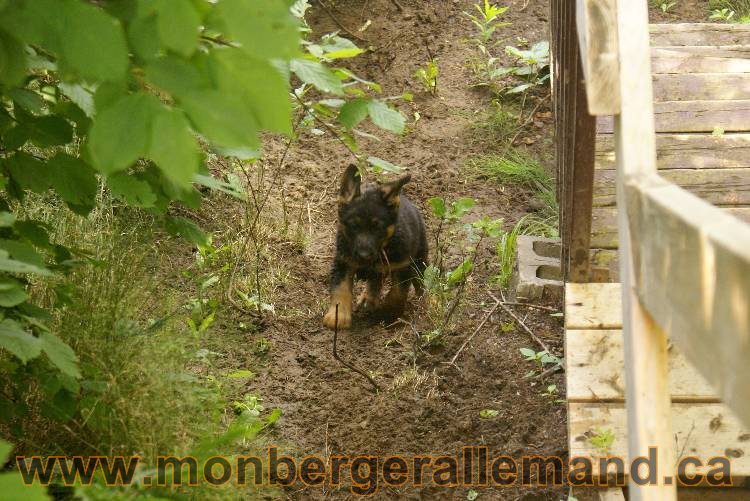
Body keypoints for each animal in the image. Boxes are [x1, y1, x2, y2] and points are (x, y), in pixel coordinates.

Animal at [324, 162, 428, 330]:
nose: (364, 255)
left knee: (421, 280)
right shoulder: (343, 261)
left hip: (419, 258)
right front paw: (337, 316)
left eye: (377, 228)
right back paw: (368, 298)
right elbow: (341, 288)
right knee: (375, 282)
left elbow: (398, 293)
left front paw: (388, 314)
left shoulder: (403, 265)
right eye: (354, 226)